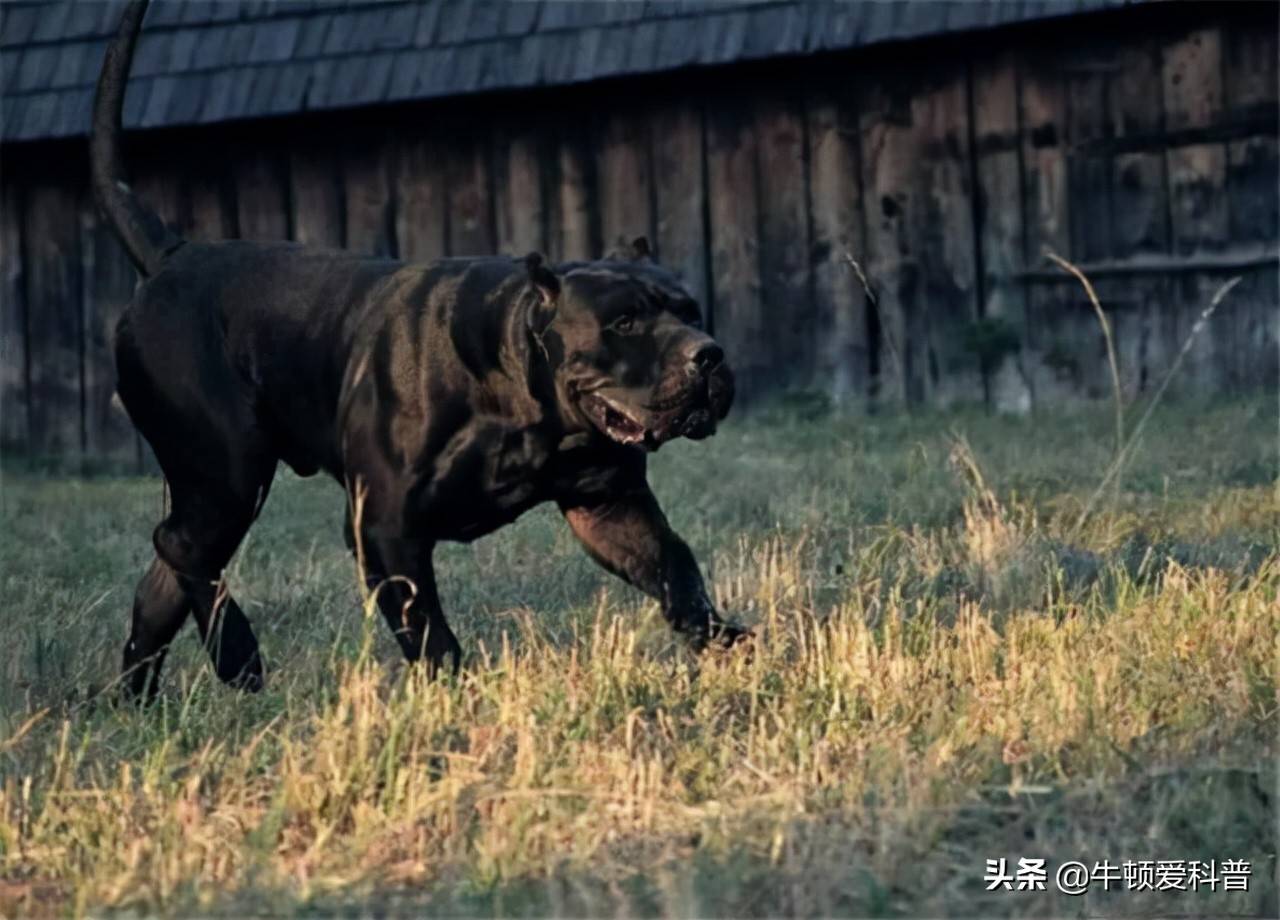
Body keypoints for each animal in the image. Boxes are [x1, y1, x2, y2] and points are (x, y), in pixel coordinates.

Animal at [97, 0, 747, 696]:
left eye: (691, 311)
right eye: (624, 322)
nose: (708, 354)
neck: (521, 389)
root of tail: (170, 253)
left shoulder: (610, 505)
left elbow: (676, 568)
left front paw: (728, 643)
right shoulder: (386, 527)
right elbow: (429, 629)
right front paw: (452, 694)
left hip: (213, 488)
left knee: (163, 581)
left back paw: (141, 700)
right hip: (228, 468)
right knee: (180, 546)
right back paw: (237, 655)